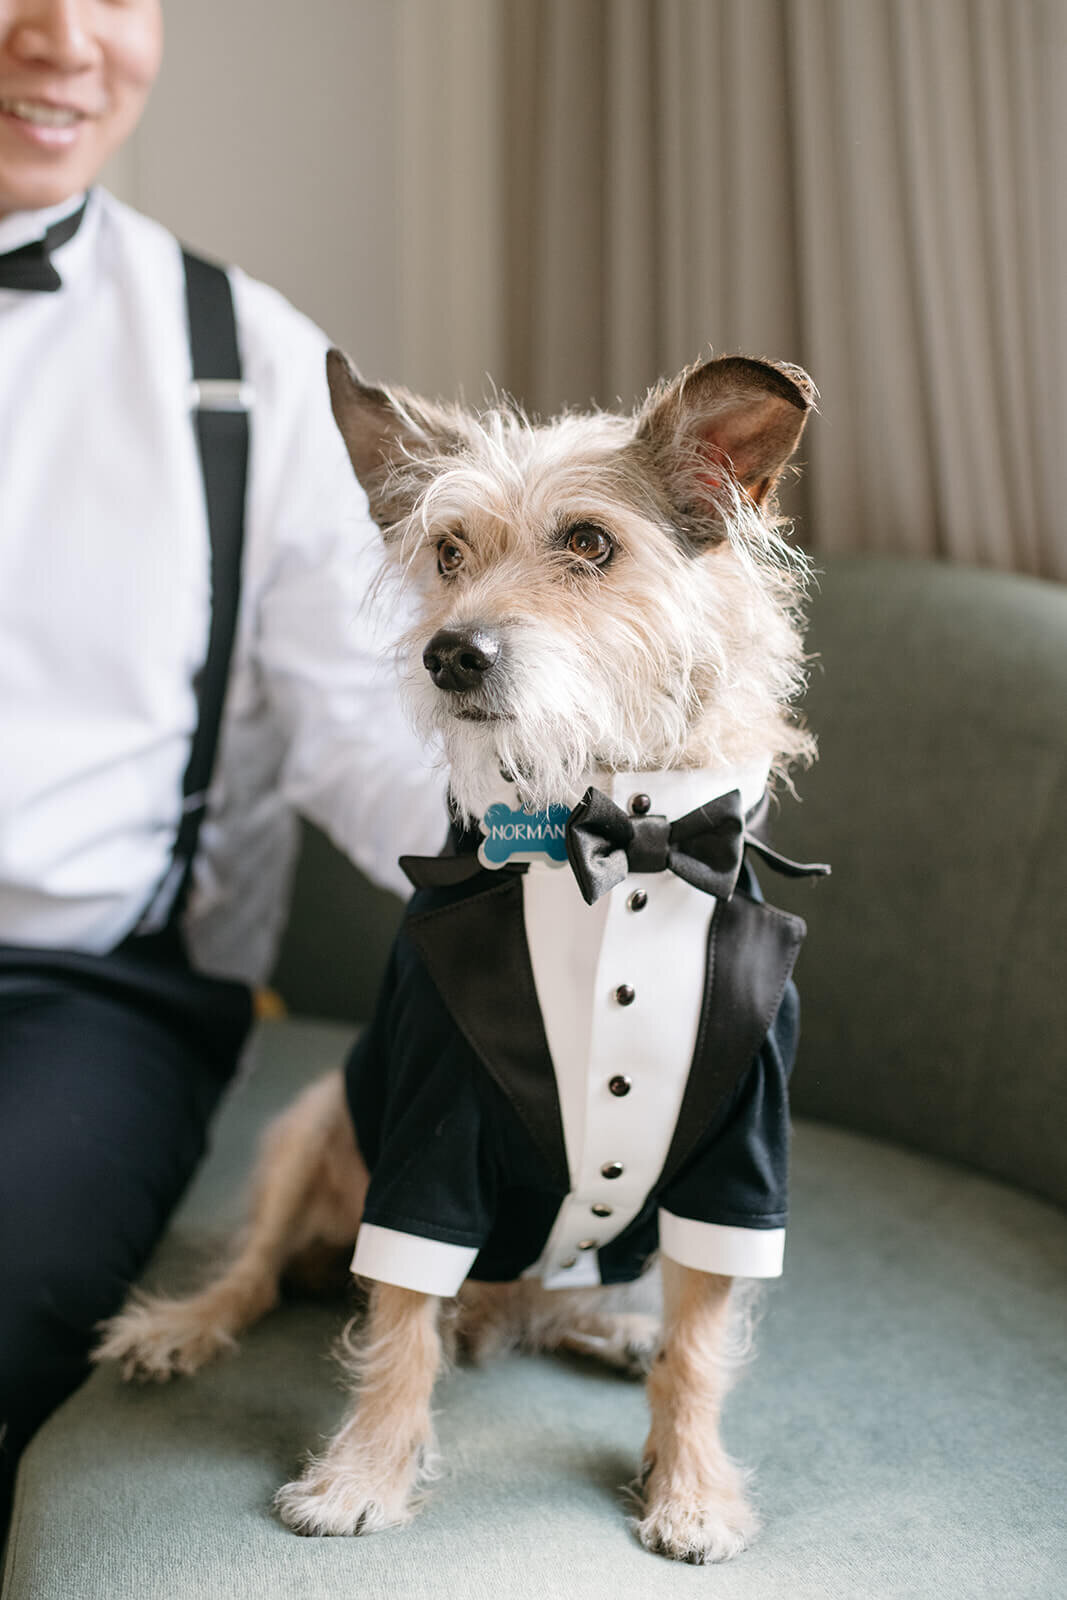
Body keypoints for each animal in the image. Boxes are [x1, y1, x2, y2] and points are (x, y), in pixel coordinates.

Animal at [93, 350, 825, 1561]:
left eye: (589, 543)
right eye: (446, 553)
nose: (450, 652)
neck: (617, 832)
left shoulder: (742, 1149)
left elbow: (701, 1343)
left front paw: (692, 1487)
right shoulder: (432, 1128)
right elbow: (397, 1318)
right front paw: (363, 1475)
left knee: (559, 1300)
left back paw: (609, 1327)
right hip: (311, 1124)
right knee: (260, 1273)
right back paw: (187, 1324)